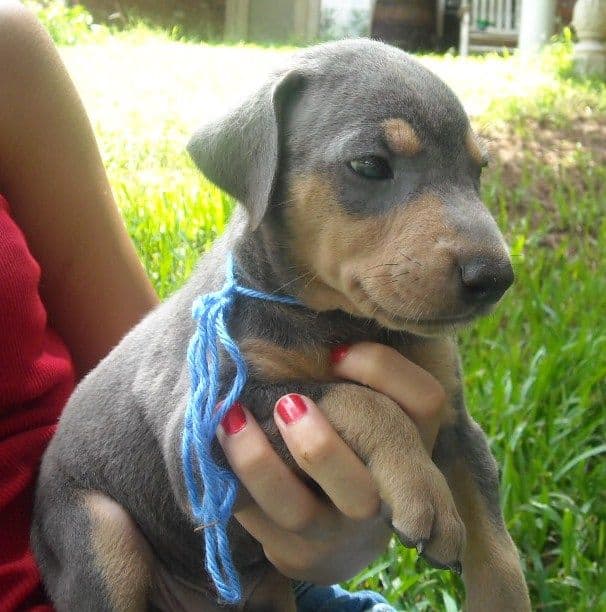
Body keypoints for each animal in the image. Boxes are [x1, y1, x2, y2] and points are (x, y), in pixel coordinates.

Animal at [30, 40, 532, 608]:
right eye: (370, 165)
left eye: (478, 171)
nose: (496, 277)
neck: (337, 320)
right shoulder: (198, 436)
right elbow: (353, 397)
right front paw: (424, 490)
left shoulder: (456, 423)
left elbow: (499, 552)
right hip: (100, 531)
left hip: (269, 587)